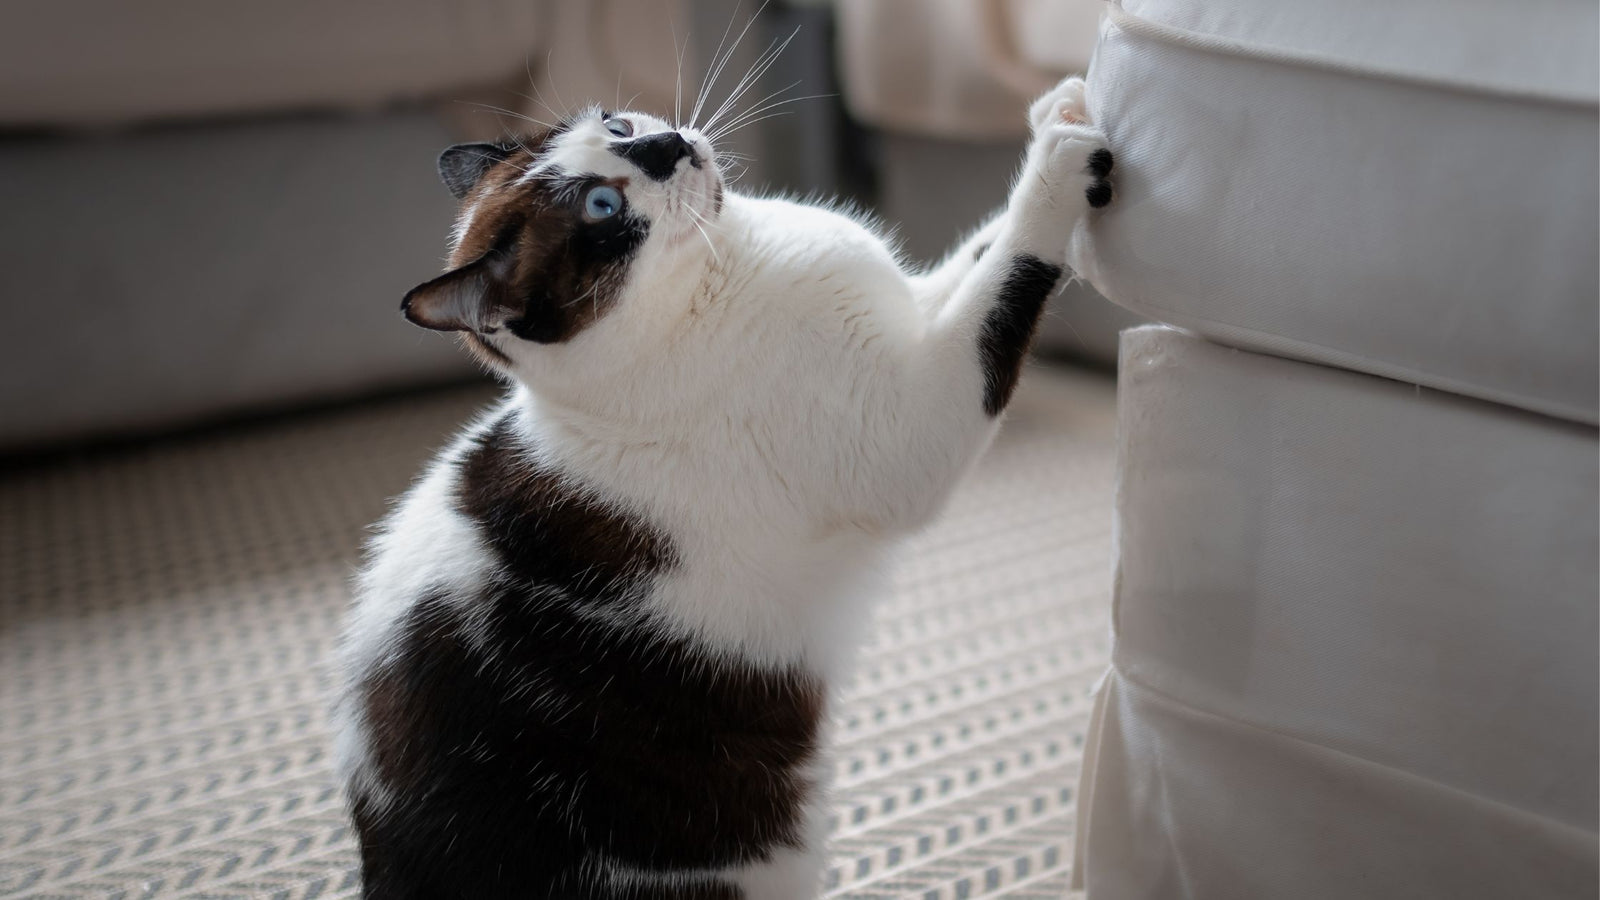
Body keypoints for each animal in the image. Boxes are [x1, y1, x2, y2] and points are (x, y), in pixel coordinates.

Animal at [334, 76, 1113, 896]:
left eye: (618, 126)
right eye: (600, 208)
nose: (665, 144)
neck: (724, 269)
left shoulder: (913, 311)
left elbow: (976, 254)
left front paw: (1057, 111)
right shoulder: (911, 429)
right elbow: (1006, 280)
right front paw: (1056, 169)